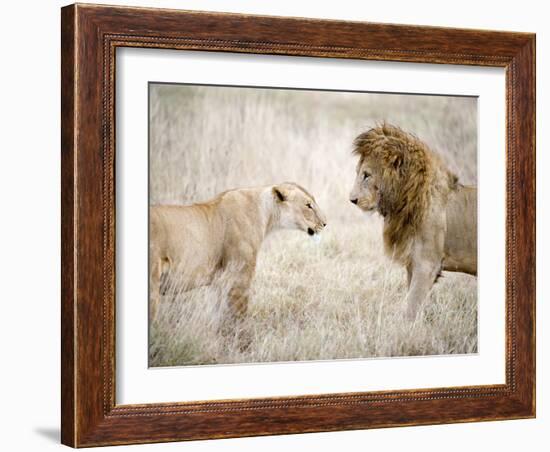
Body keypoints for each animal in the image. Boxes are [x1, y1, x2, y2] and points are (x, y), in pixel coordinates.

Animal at [150, 183, 328, 322]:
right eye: (308, 205)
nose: (325, 223)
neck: (266, 214)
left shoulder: (220, 282)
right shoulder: (239, 278)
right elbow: (238, 319)